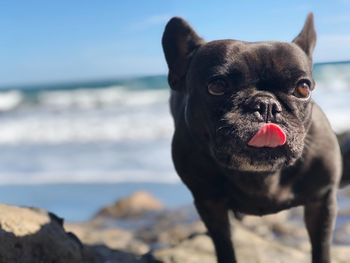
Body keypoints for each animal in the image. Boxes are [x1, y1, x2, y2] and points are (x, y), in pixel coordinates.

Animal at [163, 12, 344, 263]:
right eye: (217, 86)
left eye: (303, 89)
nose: (266, 104)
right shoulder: (209, 203)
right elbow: (224, 244)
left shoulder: (322, 201)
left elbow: (322, 247)